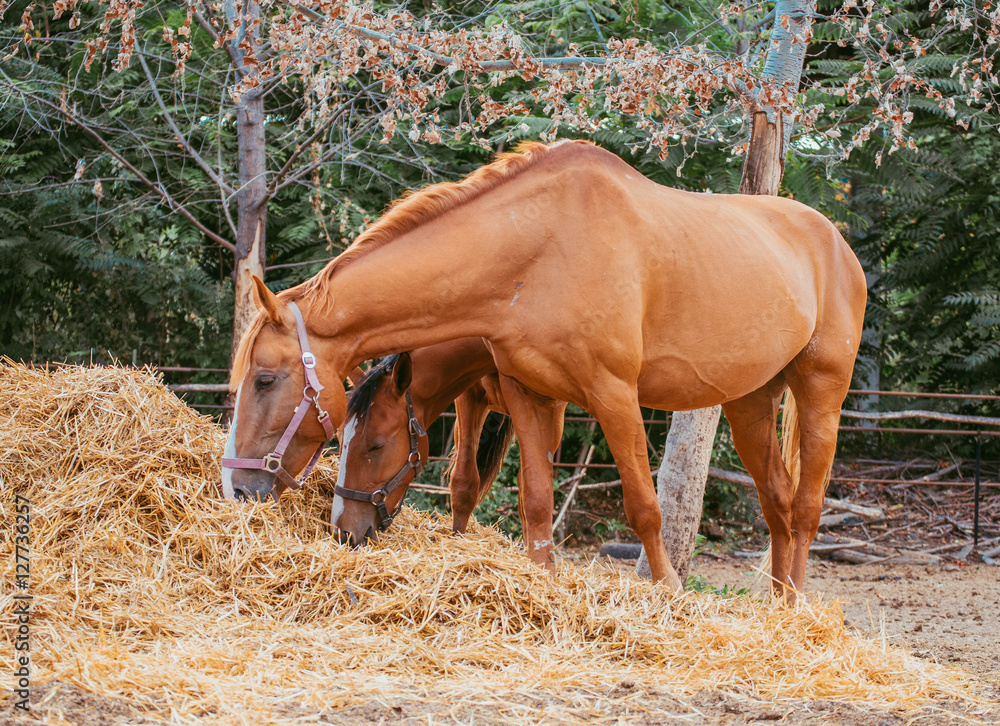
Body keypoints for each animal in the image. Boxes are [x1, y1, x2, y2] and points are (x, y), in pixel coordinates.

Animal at [223, 139, 866, 600]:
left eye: (265, 380)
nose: (238, 487)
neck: (537, 249)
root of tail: (834, 241)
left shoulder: (612, 395)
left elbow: (644, 506)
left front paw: (667, 593)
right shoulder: (525, 394)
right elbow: (531, 498)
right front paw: (540, 578)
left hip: (821, 394)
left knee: (806, 508)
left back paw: (797, 612)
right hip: (750, 400)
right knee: (777, 504)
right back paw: (774, 609)